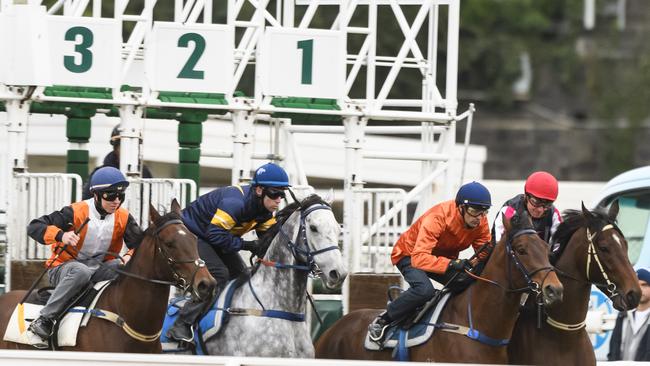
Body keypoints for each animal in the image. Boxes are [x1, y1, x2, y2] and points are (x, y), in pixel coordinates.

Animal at [314, 206, 560, 364]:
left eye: (547, 247)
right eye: (521, 250)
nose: (554, 289)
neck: (476, 326)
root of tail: (331, 330)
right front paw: (460, 265)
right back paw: (378, 326)